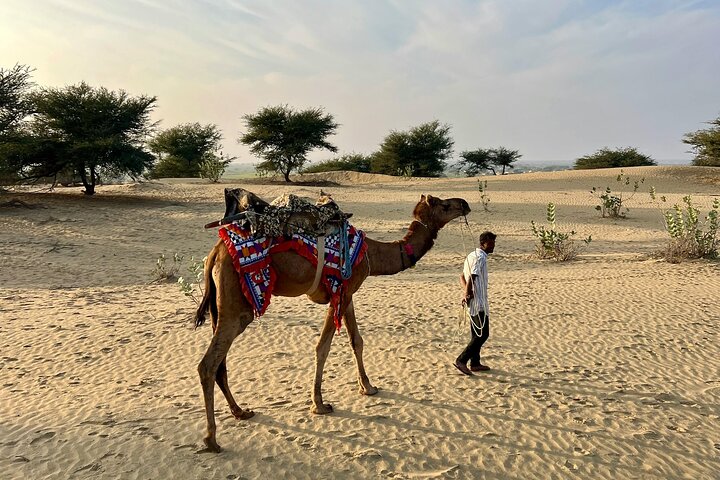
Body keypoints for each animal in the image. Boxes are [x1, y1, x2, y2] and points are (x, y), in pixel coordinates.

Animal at [195, 193, 471, 452]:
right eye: (444, 205)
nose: (465, 204)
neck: (371, 253)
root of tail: (214, 253)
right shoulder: (339, 289)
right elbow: (323, 347)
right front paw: (319, 403)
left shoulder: (348, 293)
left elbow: (356, 340)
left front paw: (368, 387)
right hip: (237, 306)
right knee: (208, 364)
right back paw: (211, 439)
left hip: (220, 306)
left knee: (220, 362)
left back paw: (240, 411)